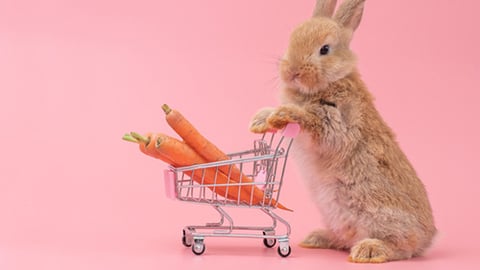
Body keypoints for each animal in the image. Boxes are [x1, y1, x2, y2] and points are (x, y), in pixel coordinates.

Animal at [249, 0, 436, 262]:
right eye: (292, 39)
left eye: (324, 49)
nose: (292, 72)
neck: (330, 81)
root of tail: (428, 239)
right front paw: (259, 120)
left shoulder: (337, 122)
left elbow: (313, 121)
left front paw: (284, 114)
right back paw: (316, 238)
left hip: (380, 214)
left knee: (401, 247)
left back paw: (369, 250)